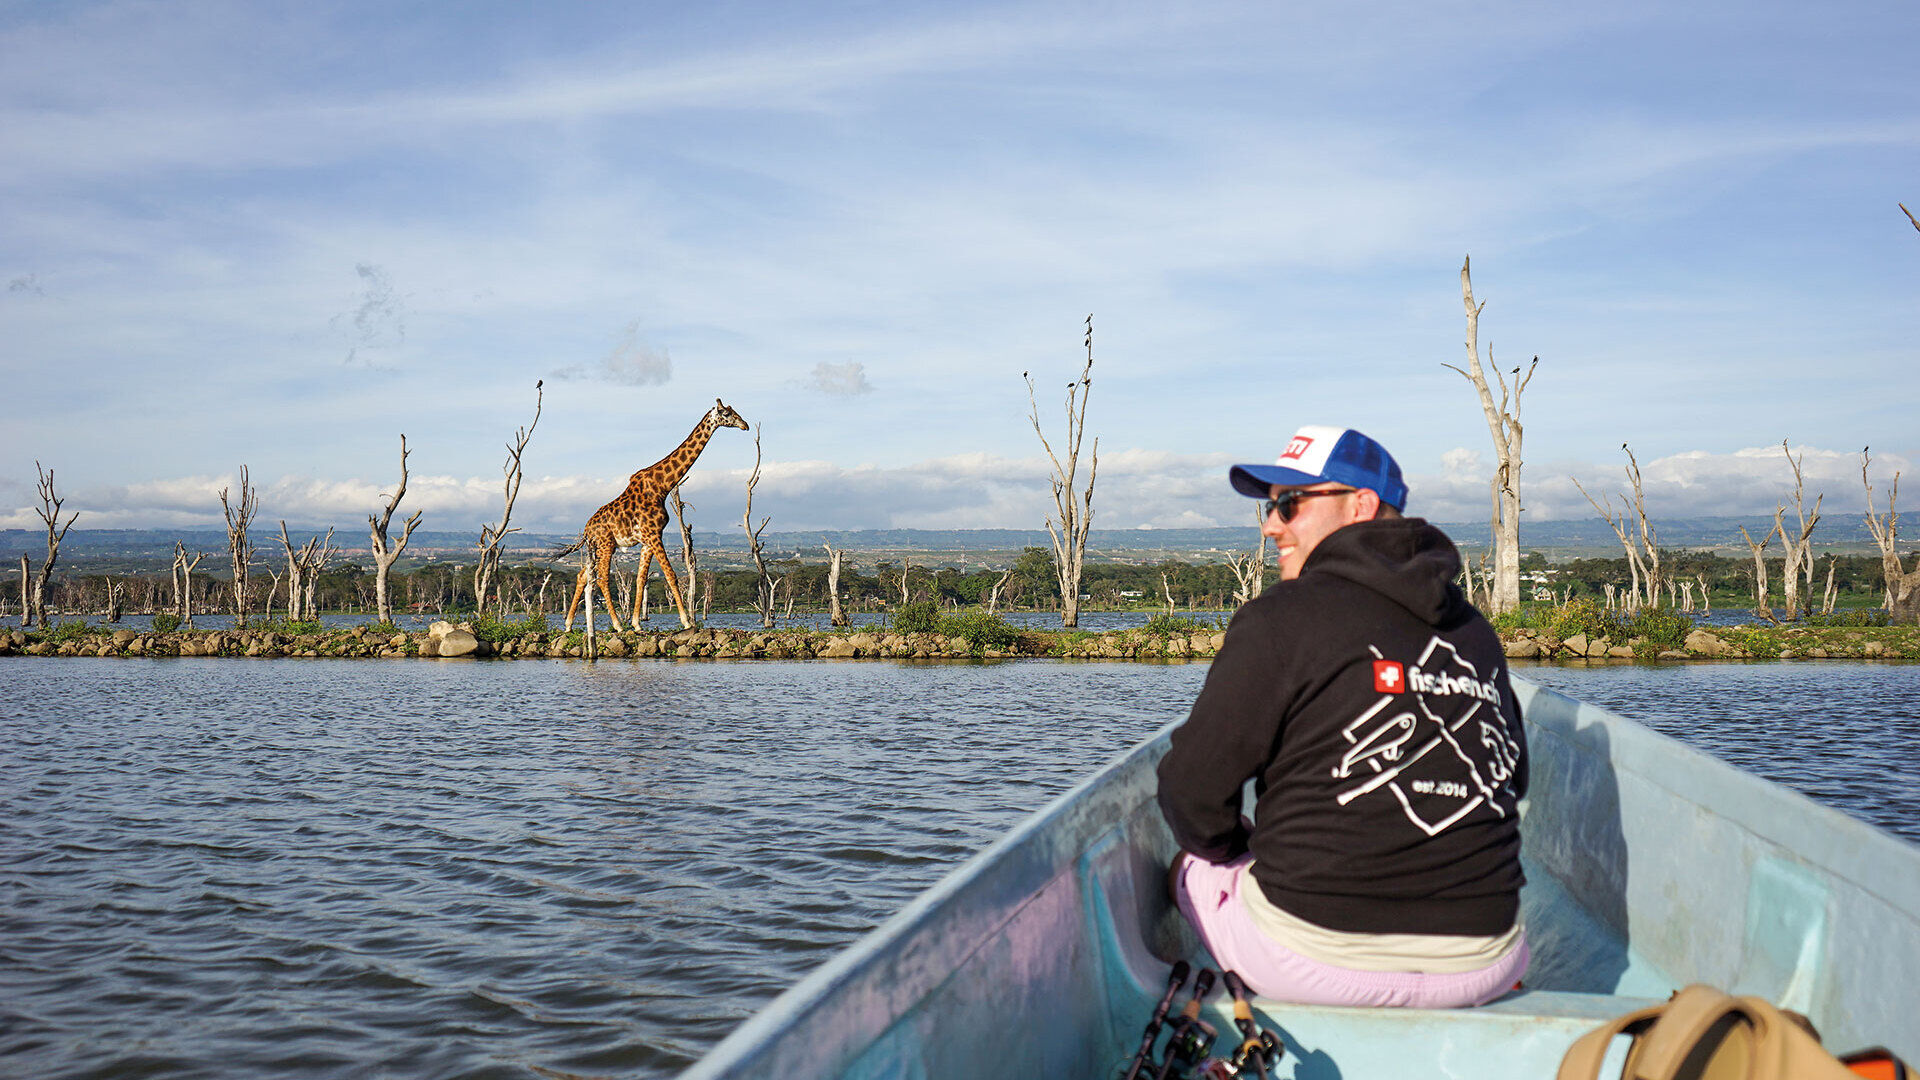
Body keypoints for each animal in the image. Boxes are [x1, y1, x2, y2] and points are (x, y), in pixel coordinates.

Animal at [556, 397, 748, 630]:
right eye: (727, 414)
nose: (745, 425)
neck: (662, 486)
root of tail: (586, 530)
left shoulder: (648, 539)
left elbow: (641, 579)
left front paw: (637, 624)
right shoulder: (654, 534)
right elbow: (671, 575)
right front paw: (686, 622)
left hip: (598, 547)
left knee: (582, 575)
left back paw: (568, 624)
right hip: (606, 544)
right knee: (601, 578)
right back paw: (617, 625)